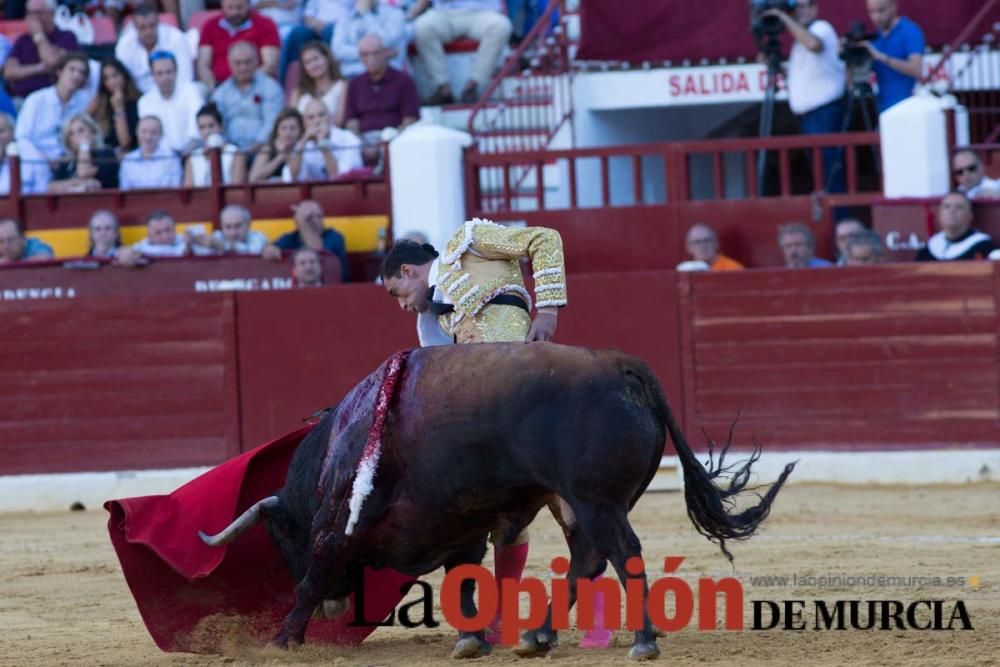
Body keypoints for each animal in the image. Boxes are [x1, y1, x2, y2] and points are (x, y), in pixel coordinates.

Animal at [201, 342, 796, 660]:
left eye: (281, 538)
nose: (336, 606)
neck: (343, 438)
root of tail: (618, 363)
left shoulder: (334, 524)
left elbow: (313, 573)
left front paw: (281, 640)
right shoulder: (458, 525)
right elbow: (465, 582)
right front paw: (471, 642)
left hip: (597, 500)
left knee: (622, 554)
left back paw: (643, 642)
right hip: (575, 504)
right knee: (587, 559)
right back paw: (536, 636)